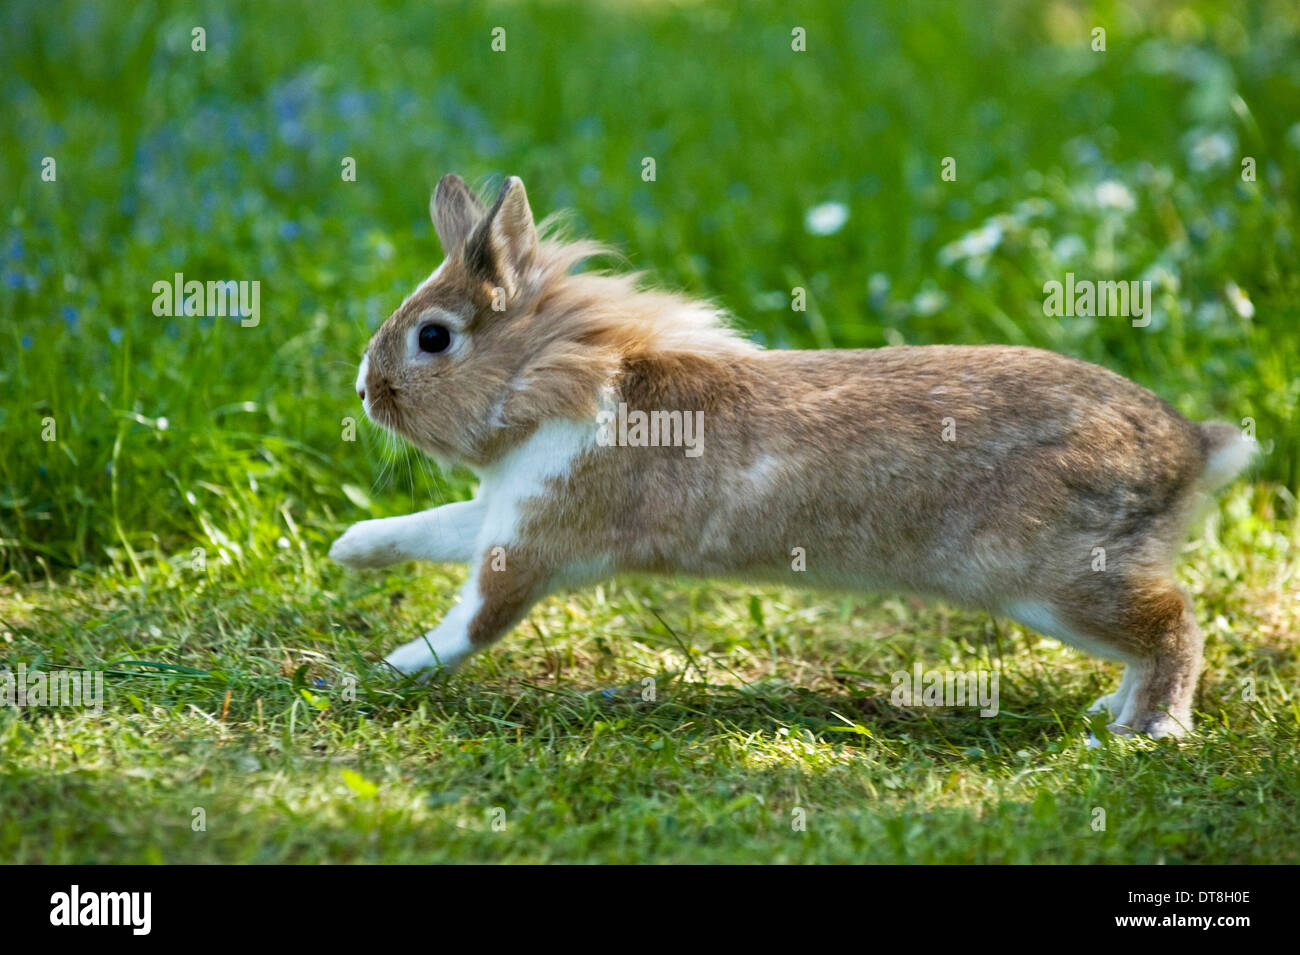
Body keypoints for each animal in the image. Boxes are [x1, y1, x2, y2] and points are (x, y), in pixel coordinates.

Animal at [330, 173, 1258, 739]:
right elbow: (432, 526)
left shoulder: (529, 543)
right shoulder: (501, 507)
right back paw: (1112, 709)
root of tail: (1192, 449)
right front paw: (351, 550)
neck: (552, 378)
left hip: (1054, 578)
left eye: (434, 338)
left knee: (1173, 623)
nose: (365, 391)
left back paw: (1152, 730)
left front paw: (391, 667)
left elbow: (476, 617)